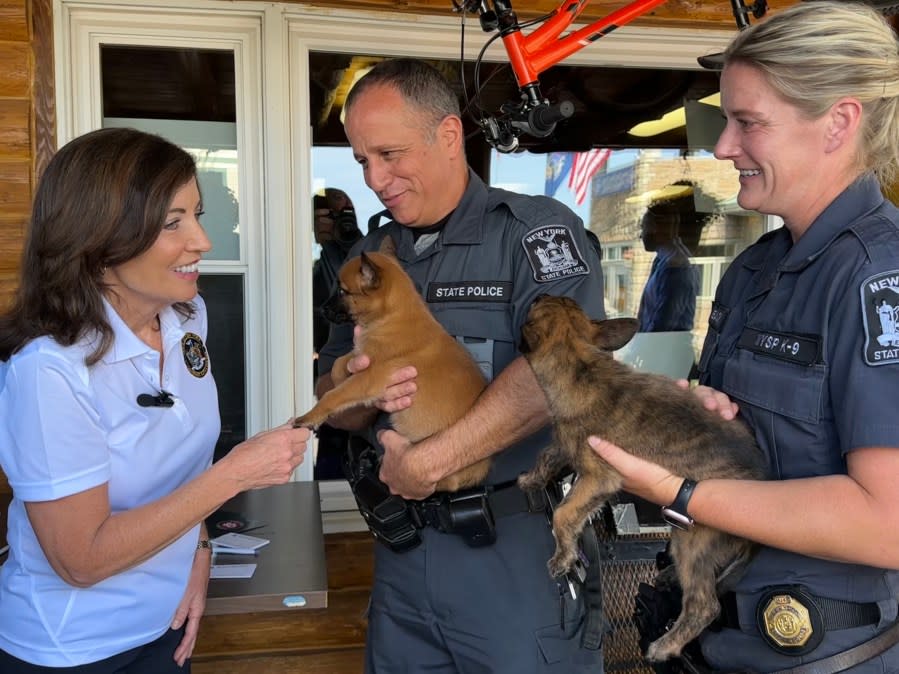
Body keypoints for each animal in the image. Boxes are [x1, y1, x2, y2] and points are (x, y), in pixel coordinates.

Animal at [298, 239, 492, 490]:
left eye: (342, 291)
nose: (321, 309)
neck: (392, 315)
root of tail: (481, 469)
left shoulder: (369, 378)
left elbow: (333, 395)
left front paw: (310, 416)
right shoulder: (364, 357)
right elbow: (340, 362)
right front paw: (339, 375)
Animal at [520, 294, 768, 660]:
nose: (538, 295)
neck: (581, 366)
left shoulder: (600, 477)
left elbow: (565, 513)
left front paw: (562, 557)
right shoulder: (566, 445)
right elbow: (547, 455)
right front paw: (530, 479)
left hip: (693, 539)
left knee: (704, 604)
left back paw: (665, 645)